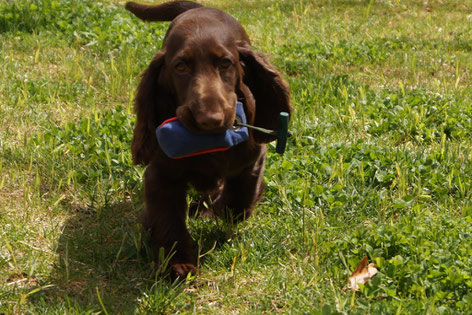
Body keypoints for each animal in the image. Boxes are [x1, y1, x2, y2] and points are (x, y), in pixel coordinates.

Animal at [125, 1, 292, 280]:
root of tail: (201, 7)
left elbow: (238, 201)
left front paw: (220, 210)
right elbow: (167, 219)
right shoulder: (161, 174)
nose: (209, 120)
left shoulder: (252, 159)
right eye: (180, 67)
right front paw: (178, 263)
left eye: (225, 63)